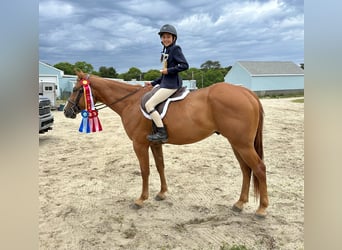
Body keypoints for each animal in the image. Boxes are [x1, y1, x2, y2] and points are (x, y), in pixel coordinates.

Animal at [62, 69, 268, 218]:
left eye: (75, 90)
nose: (66, 111)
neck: (130, 102)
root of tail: (247, 93)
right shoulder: (155, 144)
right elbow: (160, 166)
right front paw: (162, 193)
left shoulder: (139, 144)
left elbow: (145, 170)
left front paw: (141, 200)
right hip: (236, 144)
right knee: (246, 169)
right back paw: (239, 204)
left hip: (242, 144)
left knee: (258, 168)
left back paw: (262, 209)